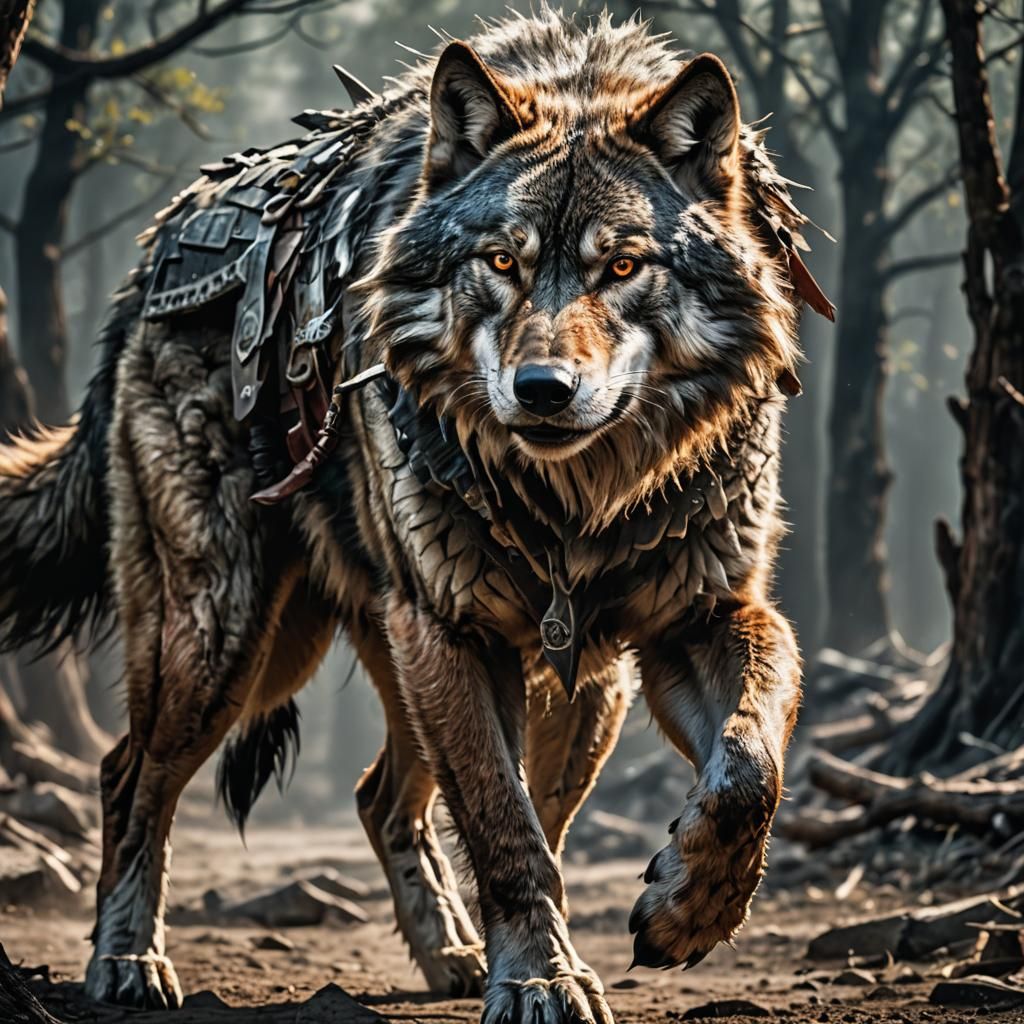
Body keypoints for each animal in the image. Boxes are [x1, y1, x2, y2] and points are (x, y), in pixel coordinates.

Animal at [0, 9, 832, 1022]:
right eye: (503, 261)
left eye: (623, 265)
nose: (543, 390)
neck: (578, 504)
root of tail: (153, 253)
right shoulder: (452, 632)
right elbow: (509, 832)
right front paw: (544, 977)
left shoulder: (703, 620)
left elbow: (750, 769)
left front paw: (689, 910)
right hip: (229, 642)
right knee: (130, 775)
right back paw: (127, 958)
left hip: (547, 684)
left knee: (381, 796)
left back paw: (454, 953)